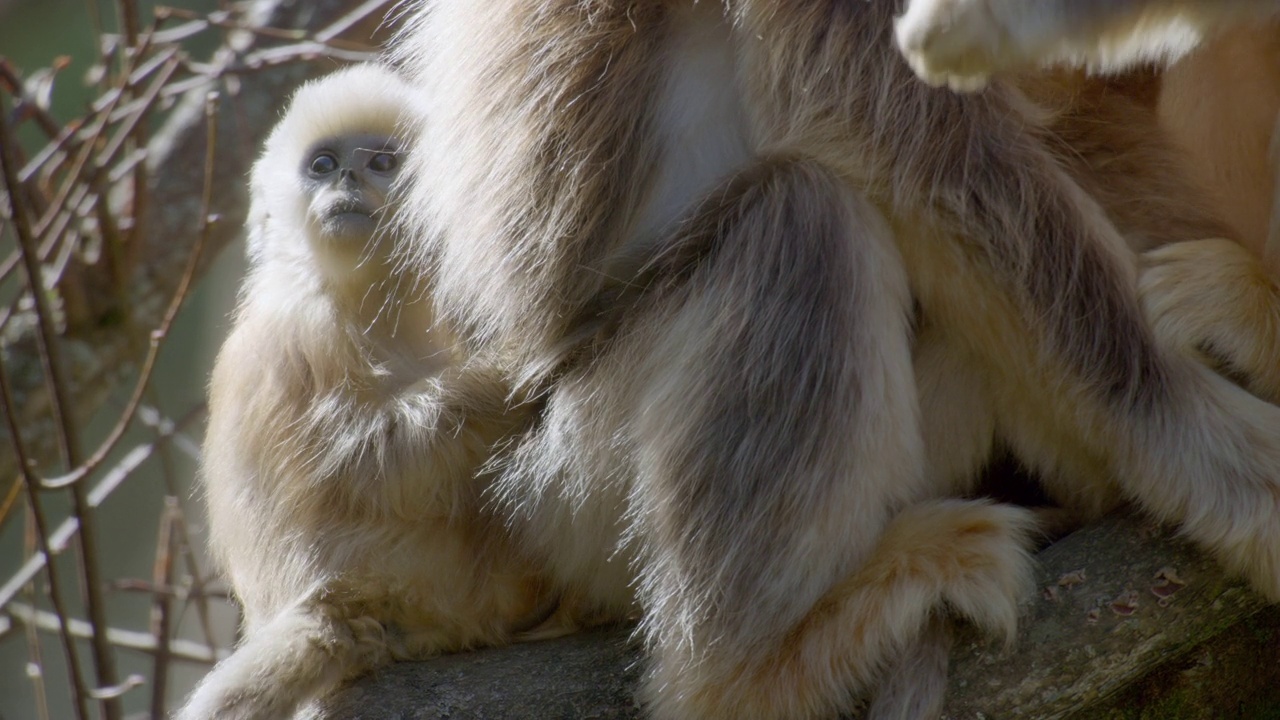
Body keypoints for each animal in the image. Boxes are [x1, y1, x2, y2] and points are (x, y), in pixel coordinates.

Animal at [177, 63, 552, 717]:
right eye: (323, 164)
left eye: (381, 162)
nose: (348, 177)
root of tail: (341, 602)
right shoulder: (305, 327)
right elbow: (367, 463)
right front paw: (514, 367)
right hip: (439, 576)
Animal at [386, 2, 1280, 712]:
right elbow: (868, 118)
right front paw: (1227, 469)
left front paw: (1248, 321)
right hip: (571, 489)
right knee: (806, 219)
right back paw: (754, 673)